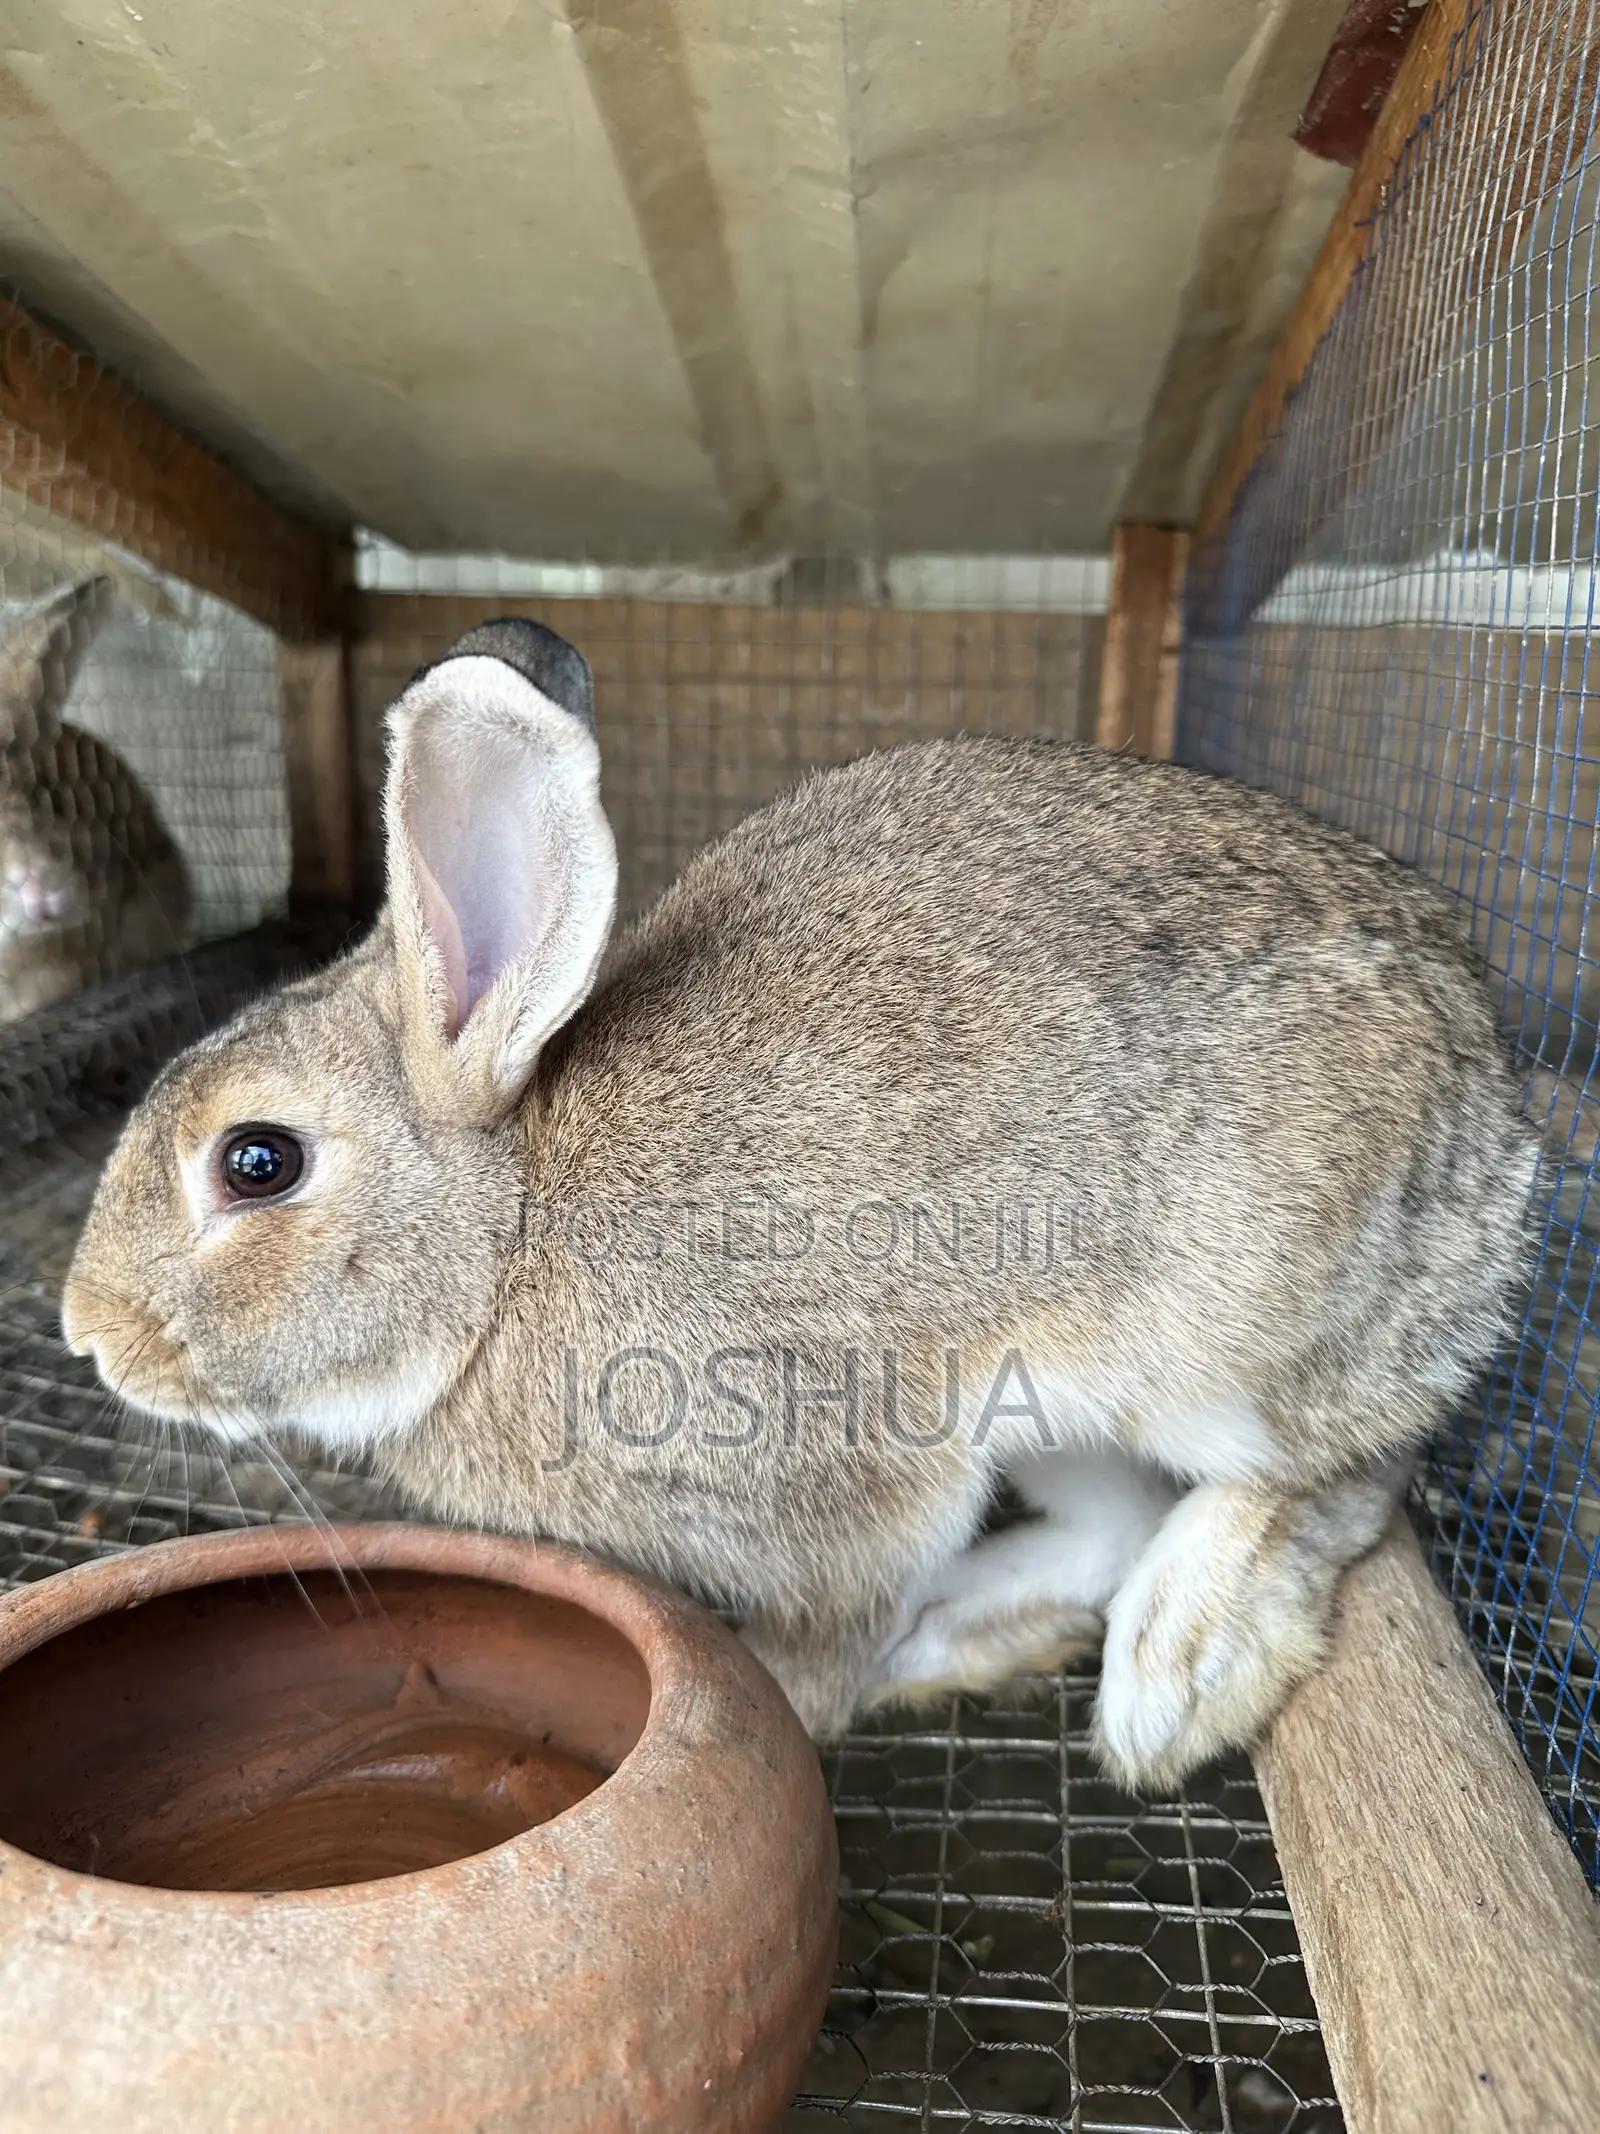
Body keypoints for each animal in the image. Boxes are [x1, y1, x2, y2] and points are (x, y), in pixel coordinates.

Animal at [60, 616, 1537, 1787]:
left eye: (257, 1161)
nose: (86, 1331)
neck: (512, 1234)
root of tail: (1501, 1121)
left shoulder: (835, 1473)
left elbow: (828, 1638)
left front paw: (771, 1695)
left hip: (1229, 1325)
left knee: (1339, 1467)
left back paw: (1174, 1666)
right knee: (1113, 1518)